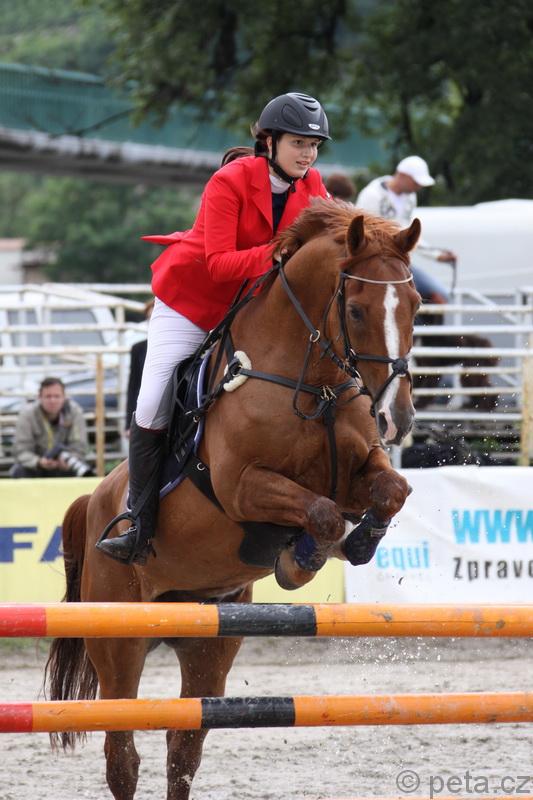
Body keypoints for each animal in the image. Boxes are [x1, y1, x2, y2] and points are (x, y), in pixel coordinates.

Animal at [45, 201, 422, 800]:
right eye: (357, 311)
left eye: (415, 306)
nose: (397, 417)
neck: (311, 380)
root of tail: (95, 499)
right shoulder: (242, 487)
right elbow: (319, 513)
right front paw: (300, 561)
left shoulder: (358, 470)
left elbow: (391, 490)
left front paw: (360, 543)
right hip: (121, 640)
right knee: (121, 752)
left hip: (209, 643)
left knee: (183, 745)